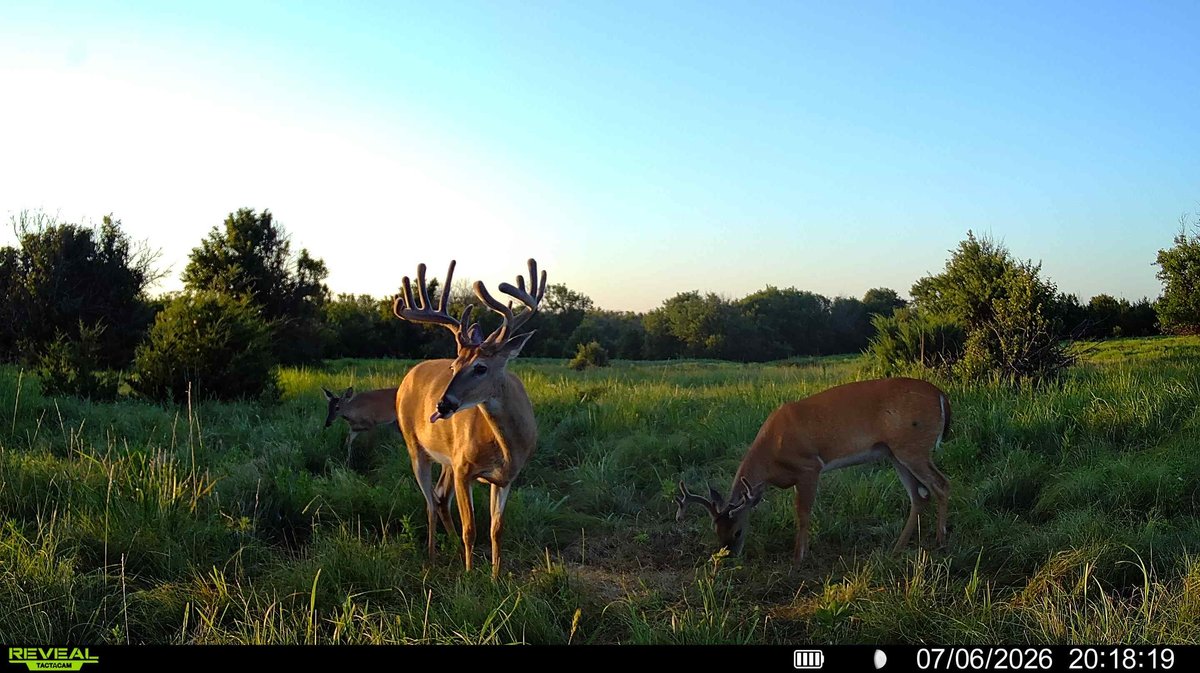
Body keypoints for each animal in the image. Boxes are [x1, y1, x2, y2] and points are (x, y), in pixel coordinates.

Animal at [391, 258, 546, 578]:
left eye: (481, 367)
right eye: (454, 366)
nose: (442, 404)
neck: (506, 446)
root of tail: (409, 375)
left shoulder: (505, 477)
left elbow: (497, 530)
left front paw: (496, 577)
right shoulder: (465, 469)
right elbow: (471, 529)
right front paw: (469, 575)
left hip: (448, 458)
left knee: (439, 496)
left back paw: (447, 545)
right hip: (415, 446)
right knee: (429, 501)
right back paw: (432, 557)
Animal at [677, 377, 951, 563]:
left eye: (738, 531)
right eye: (716, 531)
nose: (729, 557)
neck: (771, 455)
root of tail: (941, 395)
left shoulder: (809, 466)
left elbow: (803, 513)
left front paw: (799, 556)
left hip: (913, 447)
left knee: (941, 484)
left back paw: (940, 540)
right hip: (895, 452)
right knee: (919, 495)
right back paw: (897, 548)